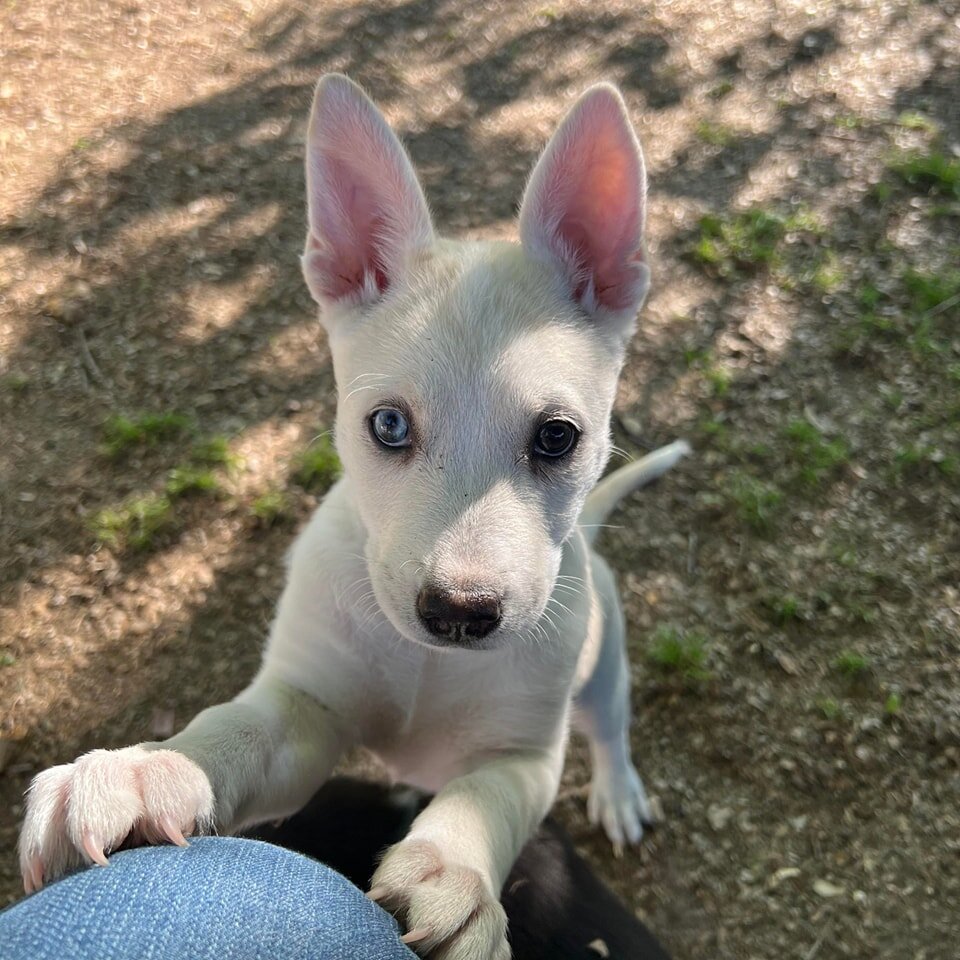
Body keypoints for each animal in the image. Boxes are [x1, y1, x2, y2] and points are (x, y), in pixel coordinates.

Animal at [18, 77, 688, 960]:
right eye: (389, 425)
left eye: (557, 436)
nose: (459, 613)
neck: (429, 666)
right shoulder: (305, 710)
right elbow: (233, 731)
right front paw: (148, 771)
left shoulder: (522, 756)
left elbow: (483, 802)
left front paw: (454, 875)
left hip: (603, 662)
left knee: (609, 728)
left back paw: (617, 790)